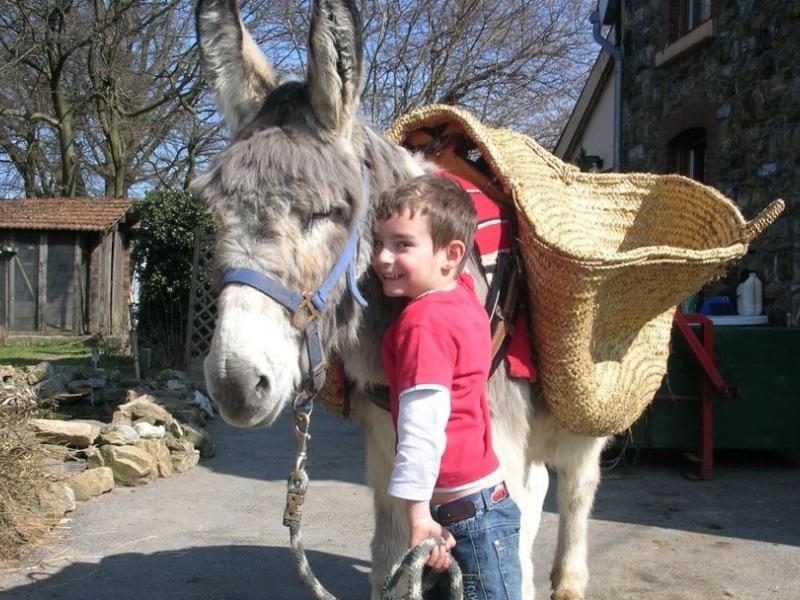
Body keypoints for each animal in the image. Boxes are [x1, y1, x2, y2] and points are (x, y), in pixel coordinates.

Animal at [191, 1, 607, 598]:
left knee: (574, 487)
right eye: (214, 214)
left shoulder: (499, 449)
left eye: (327, 213)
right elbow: (393, 553)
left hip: (584, 417)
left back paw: (568, 580)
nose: (236, 384)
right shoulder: (389, 453)